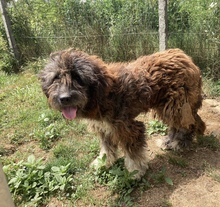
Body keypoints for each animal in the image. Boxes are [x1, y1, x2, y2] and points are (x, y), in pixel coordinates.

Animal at [38, 48, 205, 178]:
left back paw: (179, 143)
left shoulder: (127, 127)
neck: (102, 93)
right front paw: (103, 162)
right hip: (166, 106)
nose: (64, 98)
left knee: (189, 124)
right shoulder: (104, 127)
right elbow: (106, 148)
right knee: (178, 124)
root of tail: (185, 57)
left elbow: (133, 153)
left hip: (176, 106)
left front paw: (136, 171)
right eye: (56, 78)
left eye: (77, 77)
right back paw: (169, 140)